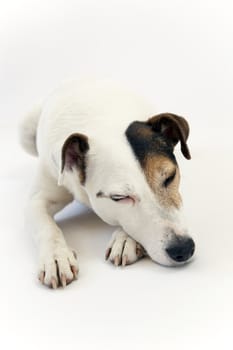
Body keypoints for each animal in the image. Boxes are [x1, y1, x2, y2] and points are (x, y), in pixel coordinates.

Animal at [19, 80, 195, 288]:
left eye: (170, 177)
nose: (183, 248)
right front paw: (56, 257)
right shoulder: (38, 199)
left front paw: (125, 239)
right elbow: (46, 227)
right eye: (119, 197)